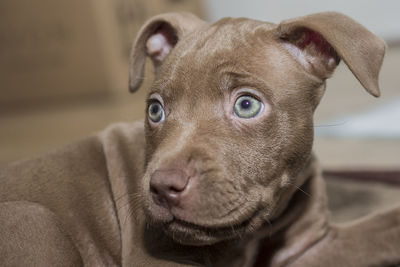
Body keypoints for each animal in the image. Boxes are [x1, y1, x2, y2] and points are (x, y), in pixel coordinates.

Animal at [0, 11, 400, 266]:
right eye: (155, 110)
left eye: (246, 105)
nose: (163, 187)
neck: (254, 233)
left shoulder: (312, 248)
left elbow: (384, 225)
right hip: (36, 218)